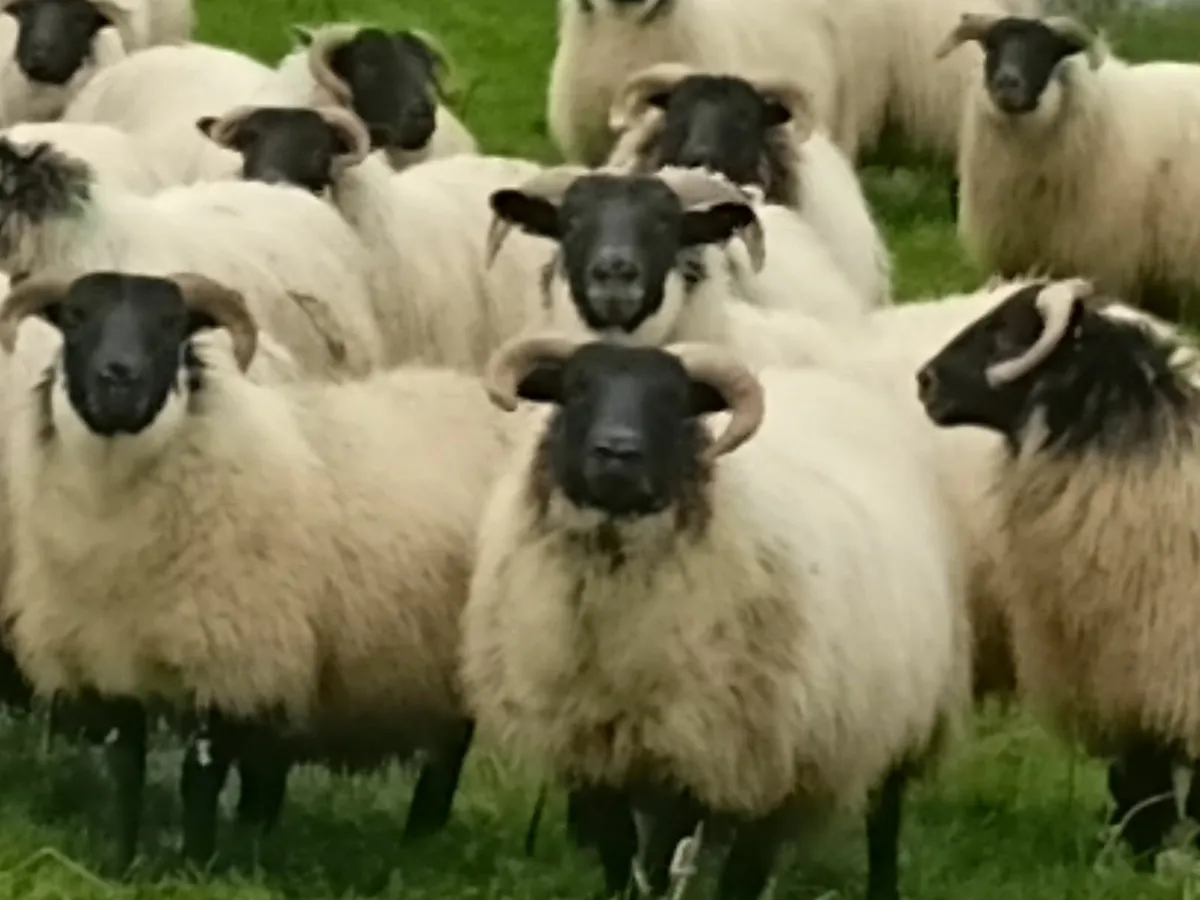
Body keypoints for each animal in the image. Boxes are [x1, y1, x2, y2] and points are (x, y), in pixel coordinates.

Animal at [0, 269, 531, 868]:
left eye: (172, 324)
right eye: (75, 317)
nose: (119, 377)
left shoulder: (228, 658)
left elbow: (199, 777)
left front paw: (195, 865)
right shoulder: (113, 662)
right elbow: (126, 773)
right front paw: (120, 862)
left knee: (447, 753)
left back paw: (420, 839)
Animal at [461, 331, 970, 899]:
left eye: (673, 401)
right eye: (574, 390)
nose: (616, 452)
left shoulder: (713, 757)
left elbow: (685, 864)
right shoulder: (597, 754)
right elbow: (622, 857)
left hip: (891, 718)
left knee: (880, 821)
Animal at [916, 276, 1200, 861]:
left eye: (1006, 332)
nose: (924, 380)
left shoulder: (1165, 672)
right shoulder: (1122, 681)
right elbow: (1139, 783)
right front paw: (1133, 852)